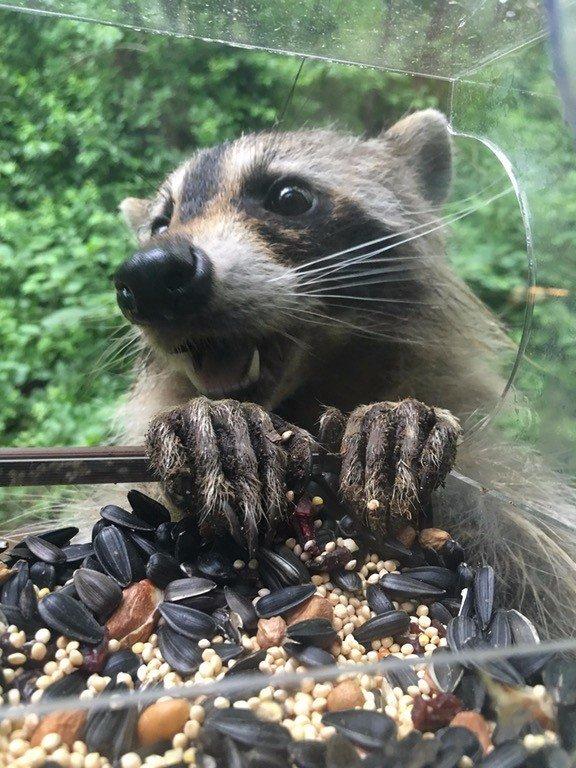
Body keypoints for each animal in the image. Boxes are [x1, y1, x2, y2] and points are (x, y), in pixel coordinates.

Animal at [116, 108, 576, 636]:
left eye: (289, 198)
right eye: (159, 224)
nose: (149, 272)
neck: (300, 394)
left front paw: (393, 425)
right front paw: (212, 423)